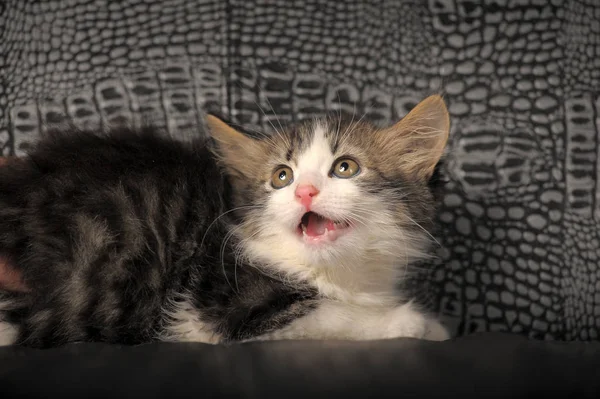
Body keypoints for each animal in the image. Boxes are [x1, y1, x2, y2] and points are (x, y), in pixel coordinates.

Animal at [0, 95, 450, 348]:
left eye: (345, 167)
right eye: (281, 176)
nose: (304, 191)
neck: (334, 272)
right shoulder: (215, 313)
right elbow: (329, 316)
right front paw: (414, 322)